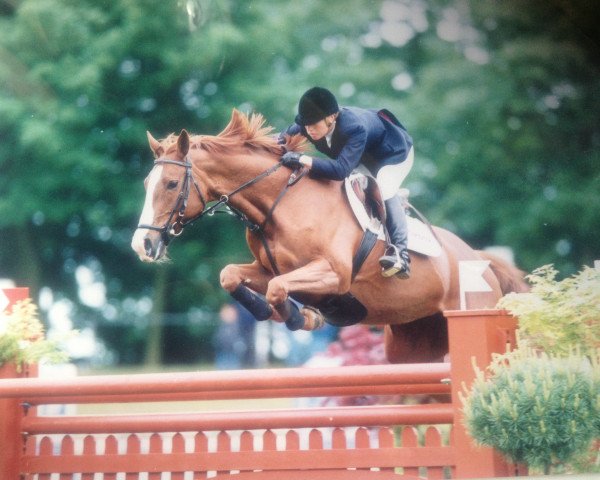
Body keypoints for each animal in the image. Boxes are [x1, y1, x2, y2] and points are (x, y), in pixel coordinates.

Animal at [131, 109, 524, 364]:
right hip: (412, 342)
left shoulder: (333, 273)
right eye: (147, 183)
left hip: (472, 310)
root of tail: (479, 259)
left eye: (170, 184)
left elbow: (279, 290)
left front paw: (301, 318)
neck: (282, 203)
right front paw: (277, 313)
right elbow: (230, 276)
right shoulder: (267, 270)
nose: (142, 246)